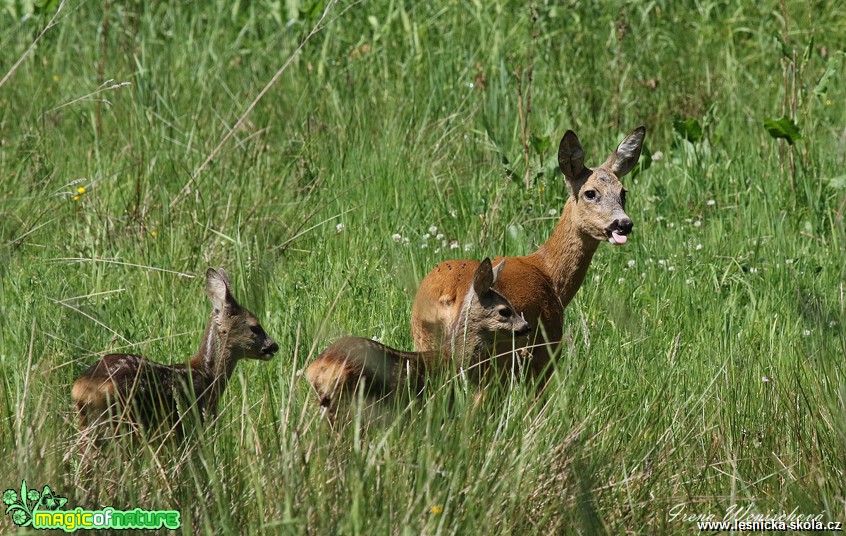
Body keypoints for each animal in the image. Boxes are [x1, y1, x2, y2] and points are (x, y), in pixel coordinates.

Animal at [410, 126, 644, 382]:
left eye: (623, 192)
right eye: (590, 193)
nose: (623, 224)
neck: (548, 273)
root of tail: (447, 296)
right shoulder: (546, 349)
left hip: (424, 342)